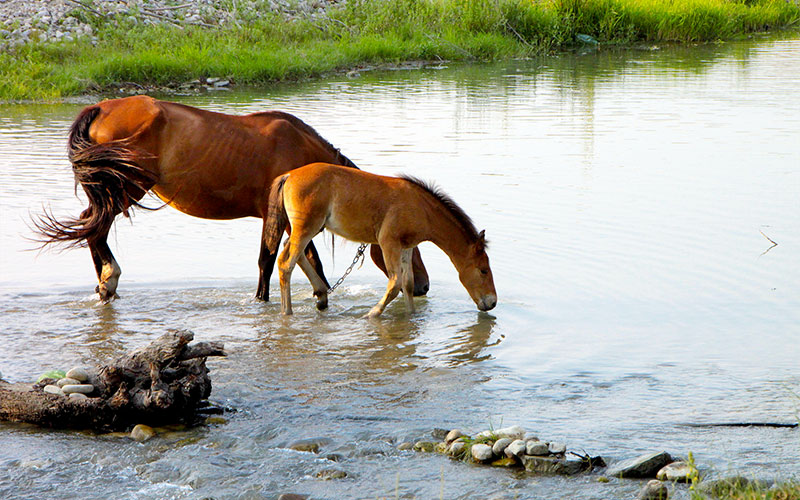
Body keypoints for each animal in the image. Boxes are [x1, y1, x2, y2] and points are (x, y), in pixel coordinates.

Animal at [34, 96, 430, 302]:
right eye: (410, 245)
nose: (422, 286)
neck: (300, 151)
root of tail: (102, 108)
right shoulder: (278, 216)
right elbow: (269, 261)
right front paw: (261, 300)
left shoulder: (299, 218)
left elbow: (308, 259)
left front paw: (321, 295)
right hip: (125, 190)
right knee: (94, 228)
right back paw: (109, 280)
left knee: (91, 226)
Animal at [265, 162, 497, 317]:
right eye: (483, 270)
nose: (493, 302)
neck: (420, 207)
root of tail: (289, 175)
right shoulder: (388, 243)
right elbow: (395, 284)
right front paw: (371, 315)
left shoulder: (406, 247)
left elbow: (408, 284)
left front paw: (411, 316)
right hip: (306, 228)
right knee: (286, 263)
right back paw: (287, 312)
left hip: (309, 229)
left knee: (291, 252)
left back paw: (321, 295)